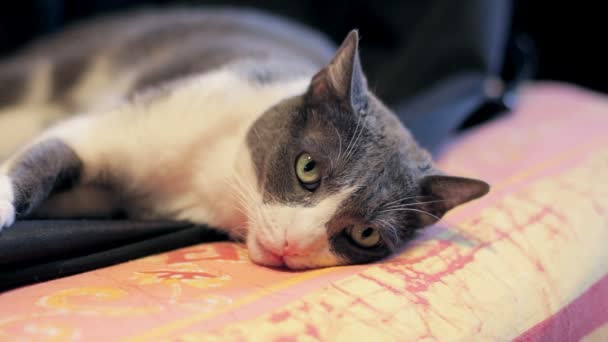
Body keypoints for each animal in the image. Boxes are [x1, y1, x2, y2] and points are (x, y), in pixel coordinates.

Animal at [0, 8, 490, 268]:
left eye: (365, 234)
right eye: (307, 167)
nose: (292, 244)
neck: (207, 184)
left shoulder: (107, 198)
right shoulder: (125, 122)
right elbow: (53, 151)